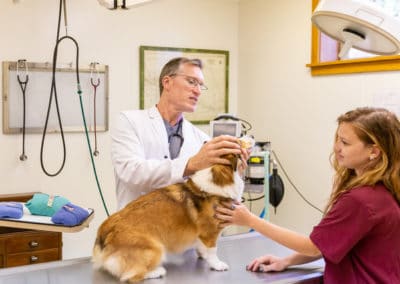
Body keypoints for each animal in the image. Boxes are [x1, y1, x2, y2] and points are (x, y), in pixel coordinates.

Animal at [93, 154, 244, 282]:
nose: (249, 140)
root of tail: (105, 231)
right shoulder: (210, 232)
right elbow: (213, 251)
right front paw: (217, 264)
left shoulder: (201, 236)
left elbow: (202, 248)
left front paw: (203, 255)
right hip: (156, 248)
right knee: (131, 275)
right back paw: (156, 272)